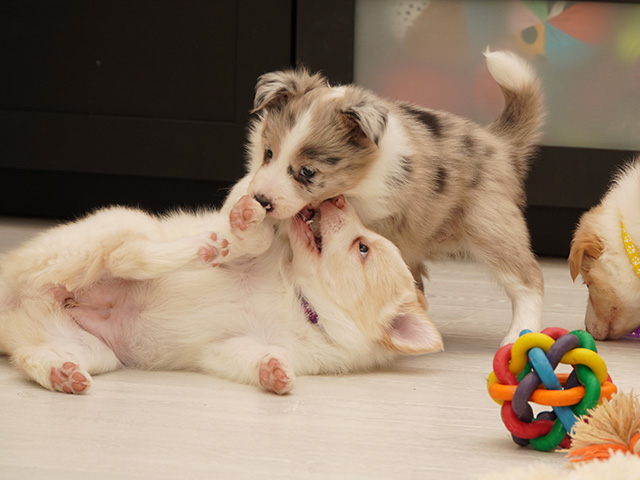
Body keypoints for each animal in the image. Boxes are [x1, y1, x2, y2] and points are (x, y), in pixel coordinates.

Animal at [0, 188, 443, 394]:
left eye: (363, 248)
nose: (335, 197)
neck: (299, 300)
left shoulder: (227, 348)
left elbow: (259, 356)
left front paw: (274, 373)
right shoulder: (248, 259)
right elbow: (254, 241)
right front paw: (246, 219)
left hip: (92, 350)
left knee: (30, 358)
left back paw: (61, 374)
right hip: (119, 226)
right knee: (127, 256)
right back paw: (200, 247)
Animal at [242, 50, 545, 345]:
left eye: (307, 172)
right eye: (268, 152)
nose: (260, 200)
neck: (355, 183)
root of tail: (500, 143)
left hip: (490, 226)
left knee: (528, 280)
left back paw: (519, 333)